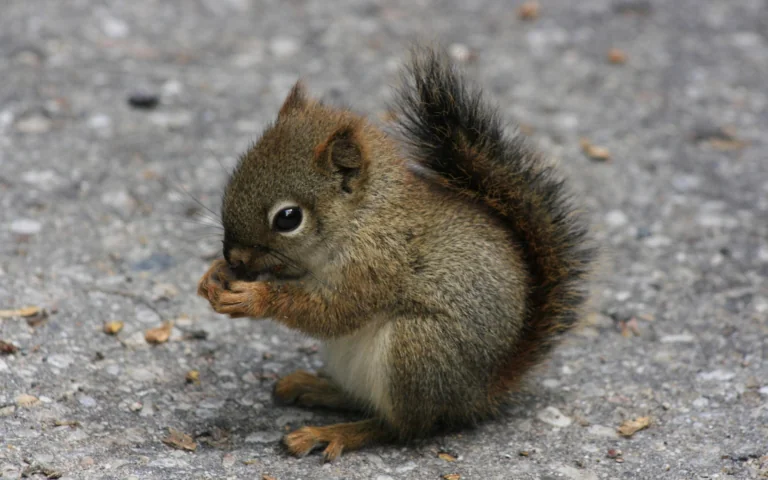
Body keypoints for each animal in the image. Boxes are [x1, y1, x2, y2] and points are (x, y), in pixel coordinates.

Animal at [197, 45, 595, 462]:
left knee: (401, 427)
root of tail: (479, 394)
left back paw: (333, 432)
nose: (235, 258)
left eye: (288, 218)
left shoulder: (377, 263)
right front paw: (214, 276)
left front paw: (253, 298)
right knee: (364, 401)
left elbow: (334, 312)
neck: (364, 216)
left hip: (417, 350)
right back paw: (317, 388)